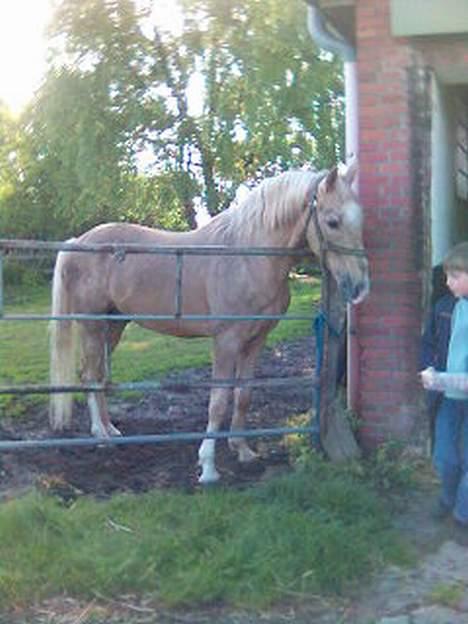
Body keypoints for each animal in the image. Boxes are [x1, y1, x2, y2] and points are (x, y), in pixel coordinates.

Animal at [48, 163, 370, 486]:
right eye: (332, 221)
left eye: (360, 220)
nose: (360, 287)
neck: (247, 258)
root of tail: (77, 242)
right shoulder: (226, 341)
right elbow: (218, 400)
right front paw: (208, 466)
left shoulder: (256, 341)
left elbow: (243, 395)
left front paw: (242, 449)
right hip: (92, 326)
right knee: (91, 376)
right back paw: (101, 436)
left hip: (114, 325)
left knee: (98, 374)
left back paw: (111, 429)